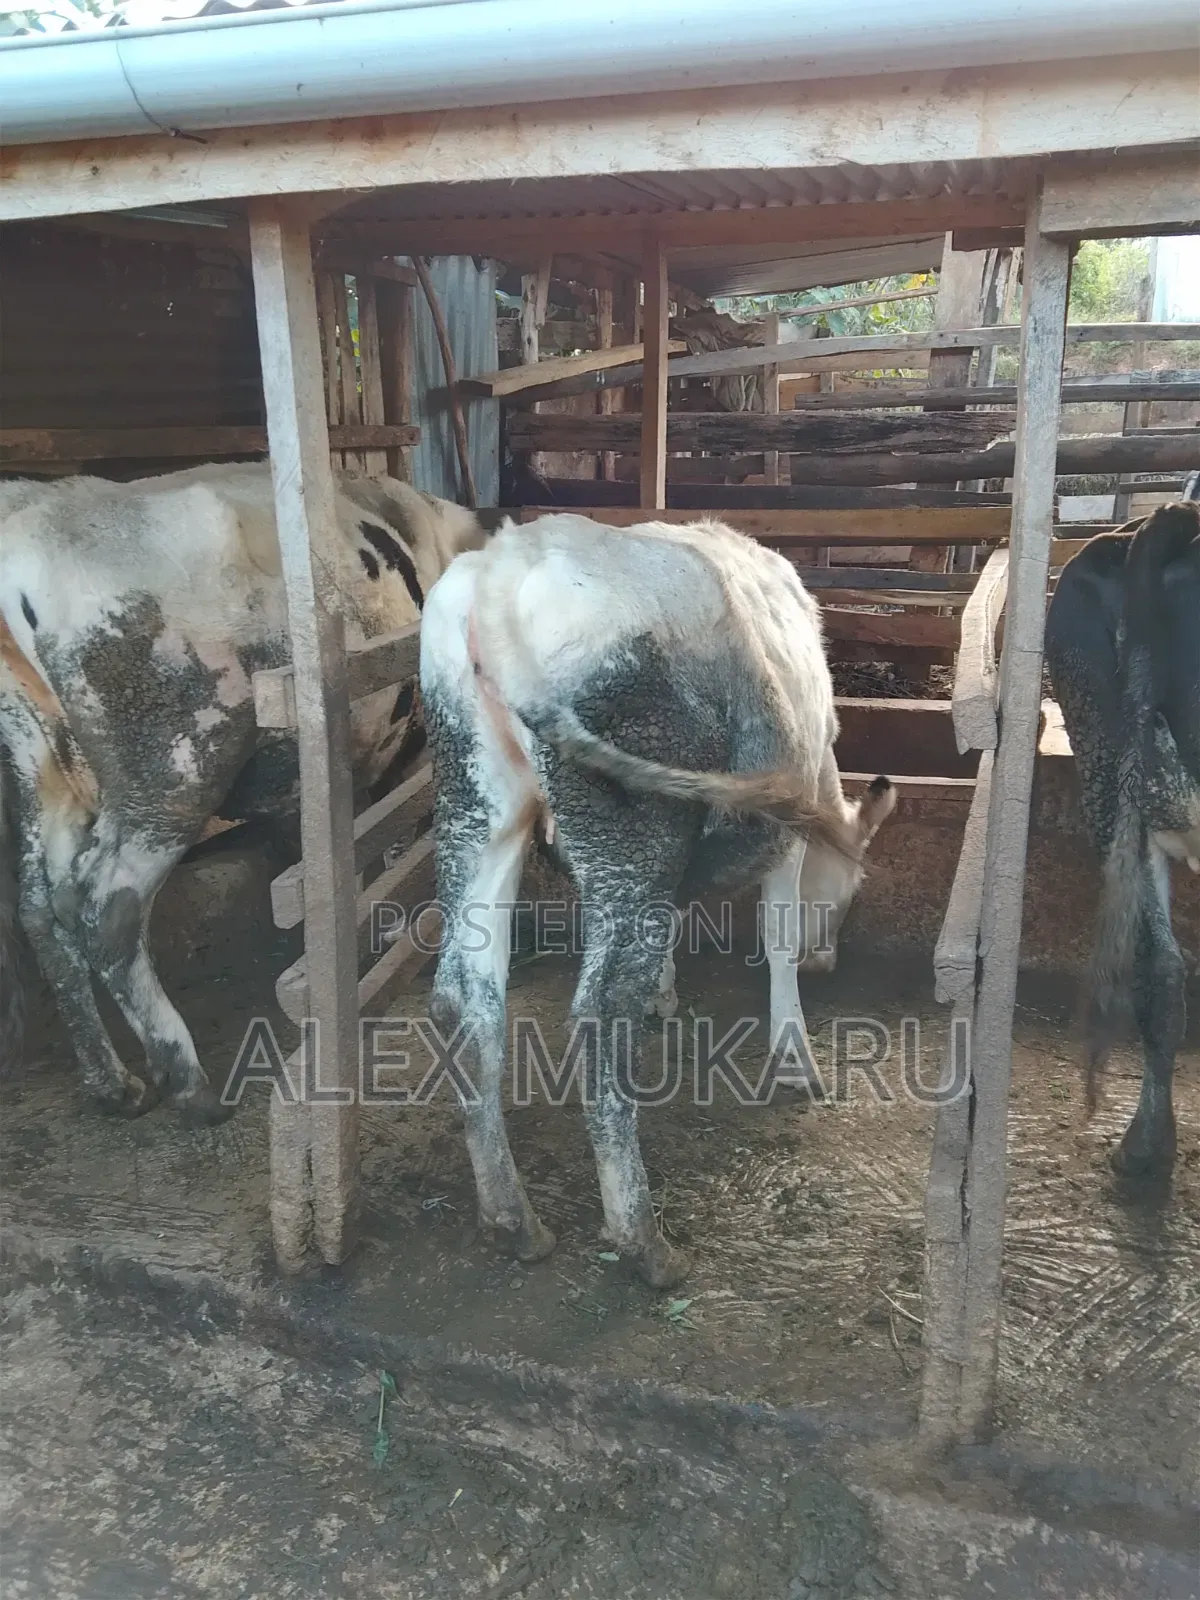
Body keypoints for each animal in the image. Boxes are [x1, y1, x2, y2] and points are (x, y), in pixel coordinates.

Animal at [0, 462, 485, 1123]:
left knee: (41, 910)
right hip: (174, 769)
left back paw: (113, 1083)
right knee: (106, 907)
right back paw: (189, 1085)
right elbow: (401, 843)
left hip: (47, 775)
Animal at [419, 512, 895, 1287]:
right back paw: (643, 1238)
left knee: (466, 997)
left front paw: (667, 990)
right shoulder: (786, 830)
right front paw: (795, 1053)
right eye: (850, 893)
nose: (830, 960)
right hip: (631, 825)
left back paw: (512, 1218)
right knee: (600, 1011)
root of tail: (505, 565)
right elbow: (778, 936)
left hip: (476, 800)